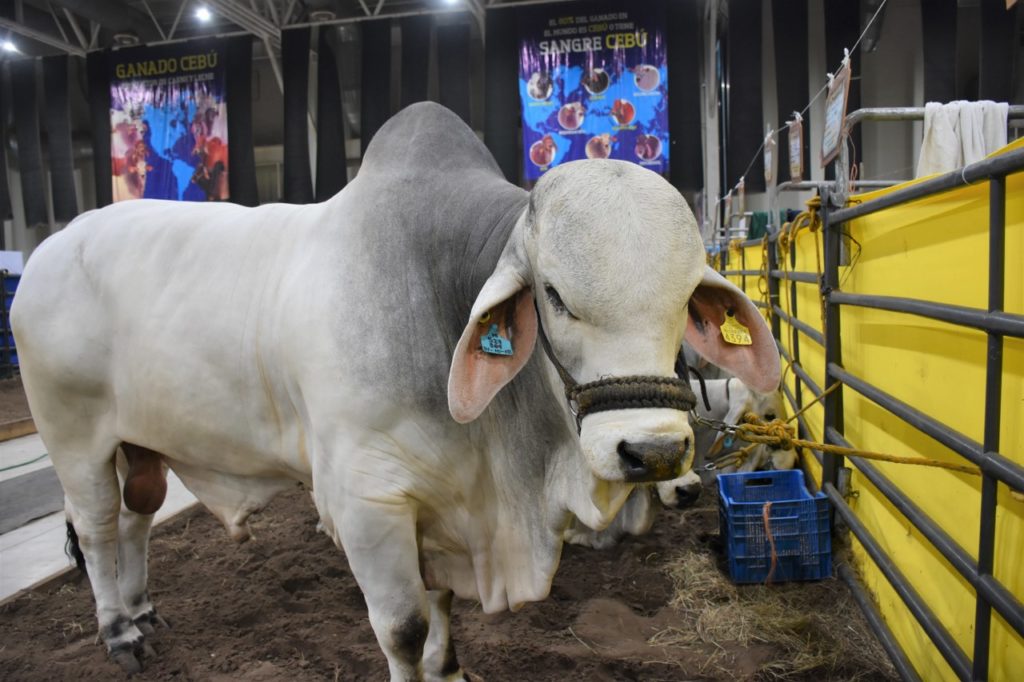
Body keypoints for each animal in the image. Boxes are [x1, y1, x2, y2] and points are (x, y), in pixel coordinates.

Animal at [9, 103, 774, 675]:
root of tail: (49, 250)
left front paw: (453, 669)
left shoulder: (438, 511)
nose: (654, 453)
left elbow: (441, 619)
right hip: (73, 437)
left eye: (686, 301)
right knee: (97, 527)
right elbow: (404, 629)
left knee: (136, 520)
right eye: (555, 297)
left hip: (141, 443)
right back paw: (119, 631)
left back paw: (142, 610)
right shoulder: (368, 505)